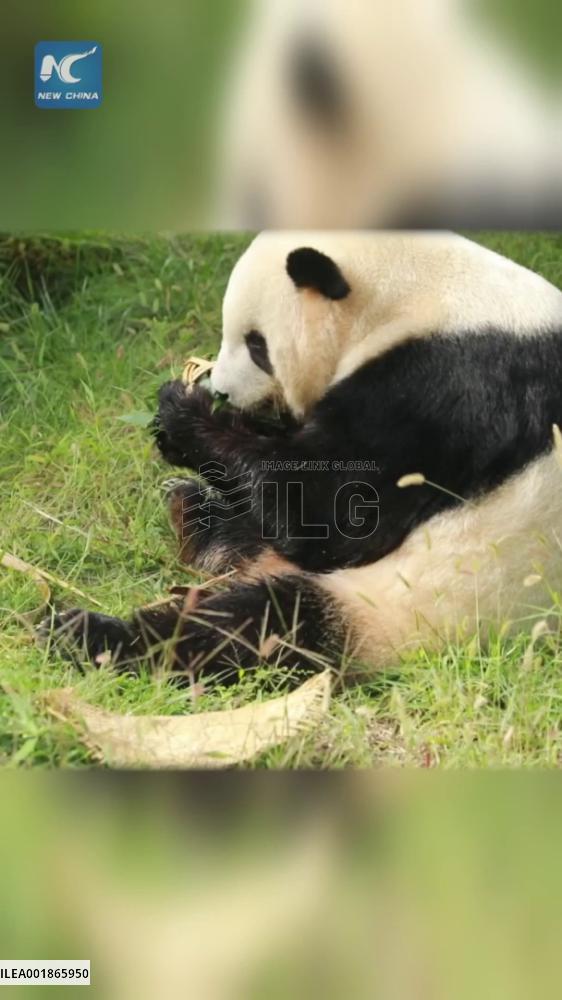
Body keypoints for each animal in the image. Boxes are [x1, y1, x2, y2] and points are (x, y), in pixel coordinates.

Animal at [41, 231, 562, 692]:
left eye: (257, 345)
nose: (222, 389)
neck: (415, 298)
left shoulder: (449, 390)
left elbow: (335, 512)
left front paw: (186, 413)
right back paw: (197, 518)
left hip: (413, 606)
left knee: (260, 627)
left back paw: (89, 635)